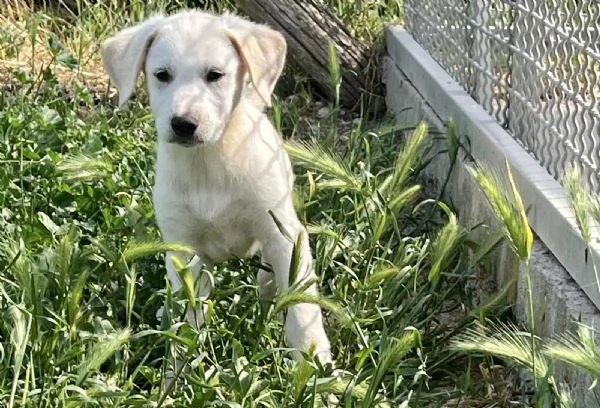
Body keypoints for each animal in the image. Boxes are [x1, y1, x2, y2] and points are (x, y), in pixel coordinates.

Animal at [100, 9, 330, 362]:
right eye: (161, 75)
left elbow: (302, 311)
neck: (208, 162)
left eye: (215, 75)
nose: (183, 124)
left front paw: (316, 367)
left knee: (271, 273)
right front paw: (179, 371)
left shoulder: (282, 233)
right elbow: (188, 320)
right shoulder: (186, 252)